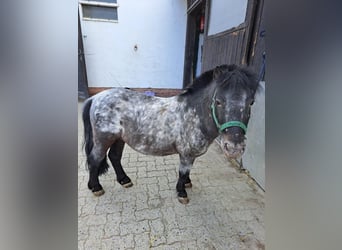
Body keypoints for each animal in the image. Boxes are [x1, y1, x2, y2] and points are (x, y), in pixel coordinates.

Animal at [83, 64, 260, 203]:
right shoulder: (186, 154)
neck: (193, 113)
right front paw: (182, 192)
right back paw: (96, 187)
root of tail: (95, 98)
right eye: (218, 102)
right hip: (103, 139)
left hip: (119, 138)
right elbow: (183, 172)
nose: (234, 147)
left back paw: (124, 180)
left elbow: (188, 171)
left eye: (251, 102)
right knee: (95, 159)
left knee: (114, 157)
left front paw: (187, 183)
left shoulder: (191, 154)